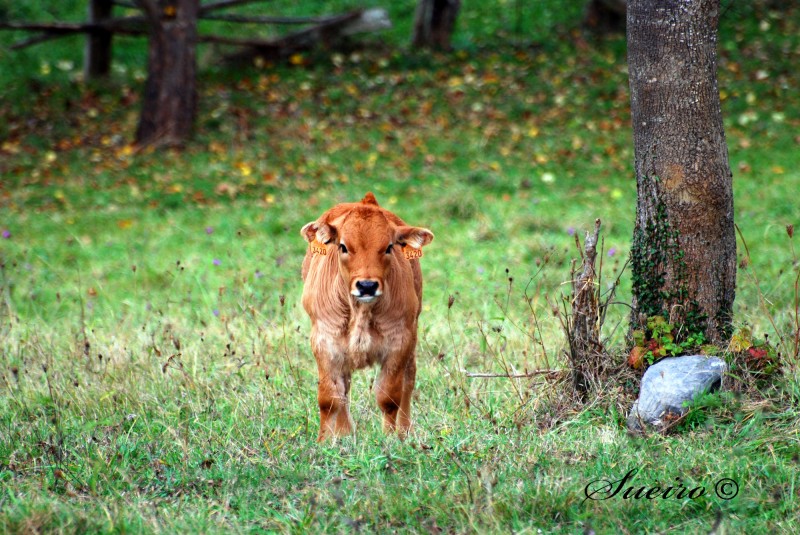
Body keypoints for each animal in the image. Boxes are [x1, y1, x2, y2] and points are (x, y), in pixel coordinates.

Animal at [300, 193, 434, 440]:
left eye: (389, 247)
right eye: (343, 246)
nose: (367, 285)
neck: (360, 312)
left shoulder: (400, 341)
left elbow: (389, 397)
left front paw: (390, 437)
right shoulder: (324, 340)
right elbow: (330, 398)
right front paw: (326, 440)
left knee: (408, 381)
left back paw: (405, 430)